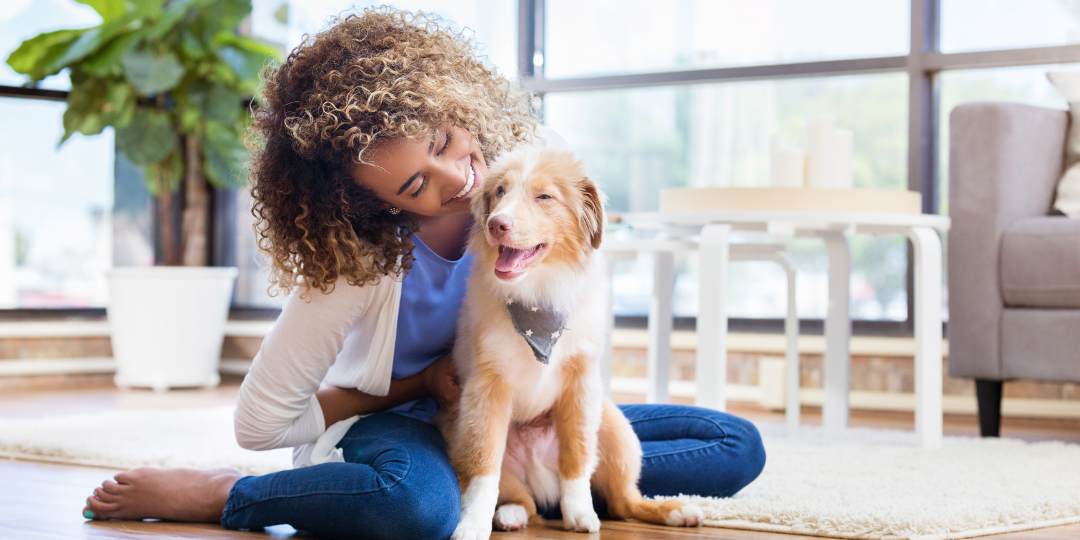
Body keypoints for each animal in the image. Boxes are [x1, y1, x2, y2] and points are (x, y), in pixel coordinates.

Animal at [442, 144, 704, 540]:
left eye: (544, 197)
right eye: (500, 192)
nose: (496, 224)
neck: (539, 293)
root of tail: (537, 474)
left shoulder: (581, 384)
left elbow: (577, 457)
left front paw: (579, 513)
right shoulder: (486, 388)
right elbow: (484, 468)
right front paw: (471, 525)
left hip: (614, 427)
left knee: (624, 502)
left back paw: (677, 511)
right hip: (459, 432)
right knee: (525, 501)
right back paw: (509, 515)